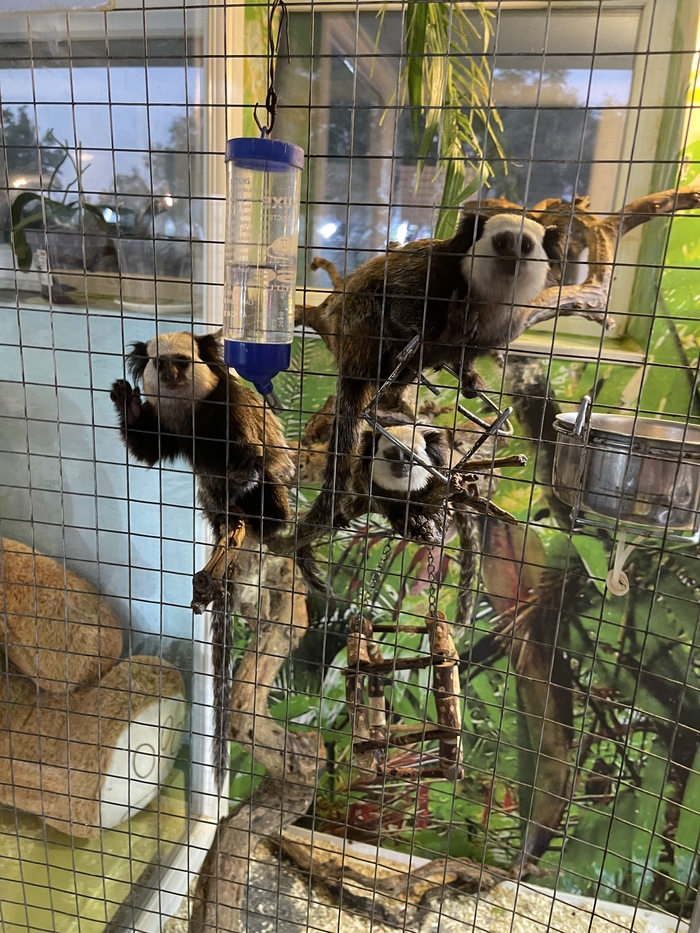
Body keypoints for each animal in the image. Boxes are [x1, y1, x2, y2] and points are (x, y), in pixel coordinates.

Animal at [291, 211, 563, 544]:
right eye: (501, 242)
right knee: (374, 303)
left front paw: (469, 375)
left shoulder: (510, 319)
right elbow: (398, 298)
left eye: (524, 245)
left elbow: (473, 351)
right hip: (358, 331)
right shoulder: (433, 271)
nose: (510, 257)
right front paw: (439, 332)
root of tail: (348, 355)